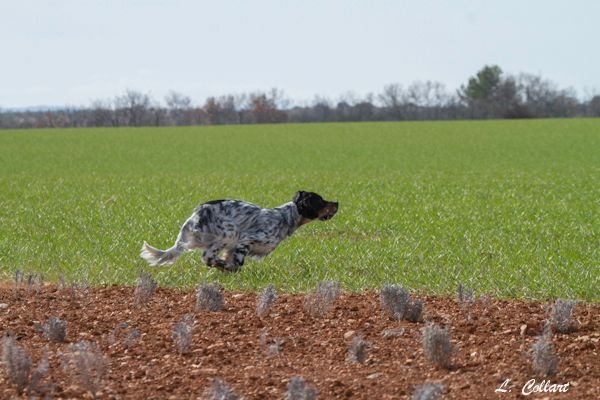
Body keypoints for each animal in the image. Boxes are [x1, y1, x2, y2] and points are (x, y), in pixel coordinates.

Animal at [140, 191, 338, 272]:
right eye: (321, 200)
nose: (337, 202)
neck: (285, 218)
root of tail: (195, 214)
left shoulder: (233, 247)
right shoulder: (246, 239)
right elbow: (237, 263)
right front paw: (227, 267)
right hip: (228, 233)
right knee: (207, 256)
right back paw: (218, 263)